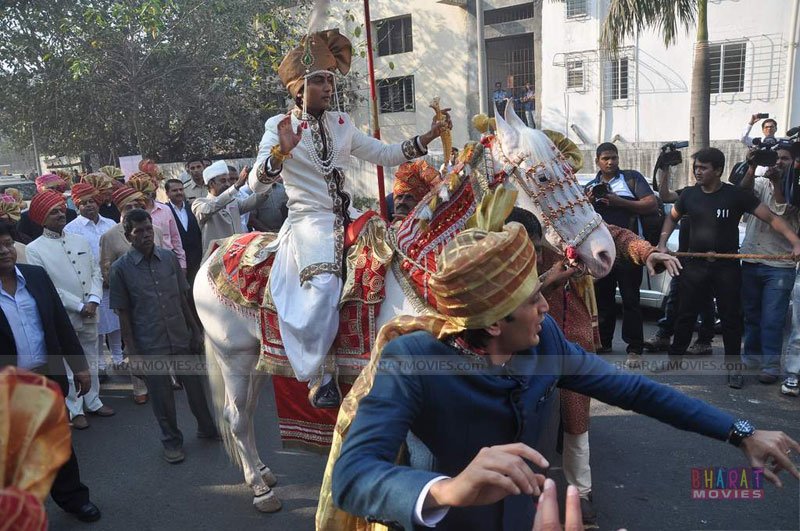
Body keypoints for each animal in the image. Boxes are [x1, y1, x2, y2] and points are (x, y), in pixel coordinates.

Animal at [195, 102, 620, 512]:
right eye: (544, 178)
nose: (605, 253)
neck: (421, 269)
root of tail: (216, 251)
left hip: (255, 359)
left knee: (246, 413)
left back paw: (263, 472)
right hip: (233, 357)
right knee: (236, 417)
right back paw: (260, 488)